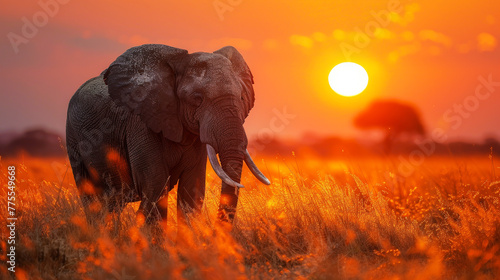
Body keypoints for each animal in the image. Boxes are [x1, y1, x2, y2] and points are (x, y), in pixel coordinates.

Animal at [67, 44, 270, 228]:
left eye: (242, 97)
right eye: (197, 98)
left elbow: (192, 191)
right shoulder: (140, 124)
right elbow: (156, 187)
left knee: (112, 203)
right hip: (73, 140)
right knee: (92, 199)